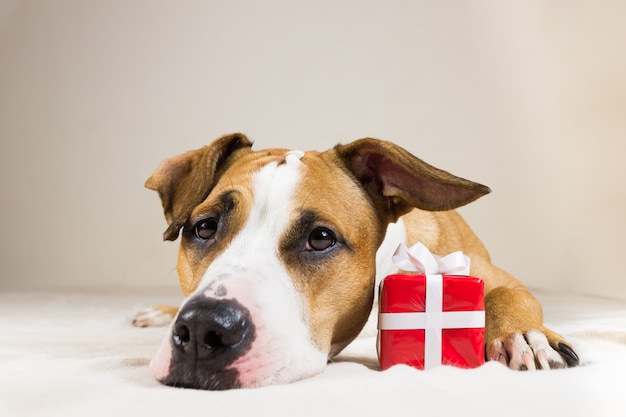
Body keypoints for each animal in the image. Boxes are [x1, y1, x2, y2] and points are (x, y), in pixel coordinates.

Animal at [134, 133, 576, 390]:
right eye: (204, 227)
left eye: (320, 238)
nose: (202, 328)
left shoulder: (500, 276)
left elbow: (509, 294)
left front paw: (521, 334)